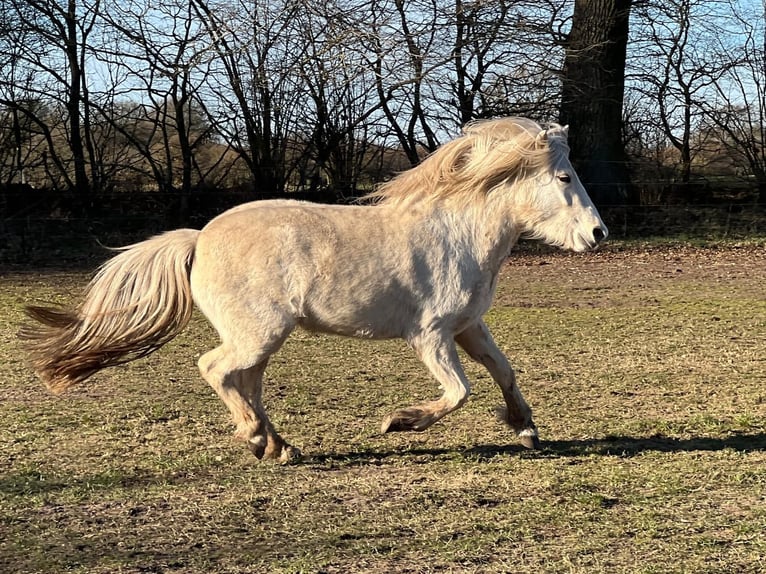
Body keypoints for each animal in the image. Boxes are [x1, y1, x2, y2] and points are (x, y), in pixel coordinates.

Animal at [20, 117, 608, 463]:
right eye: (564, 177)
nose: (599, 234)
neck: (458, 234)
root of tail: (199, 238)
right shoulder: (431, 335)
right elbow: (458, 392)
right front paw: (399, 422)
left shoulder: (468, 327)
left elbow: (505, 372)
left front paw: (526, 428)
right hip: (257, 333)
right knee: (216, 369)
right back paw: (259, 440)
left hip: (260, 340)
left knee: (245, 381)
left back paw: (278, 446)